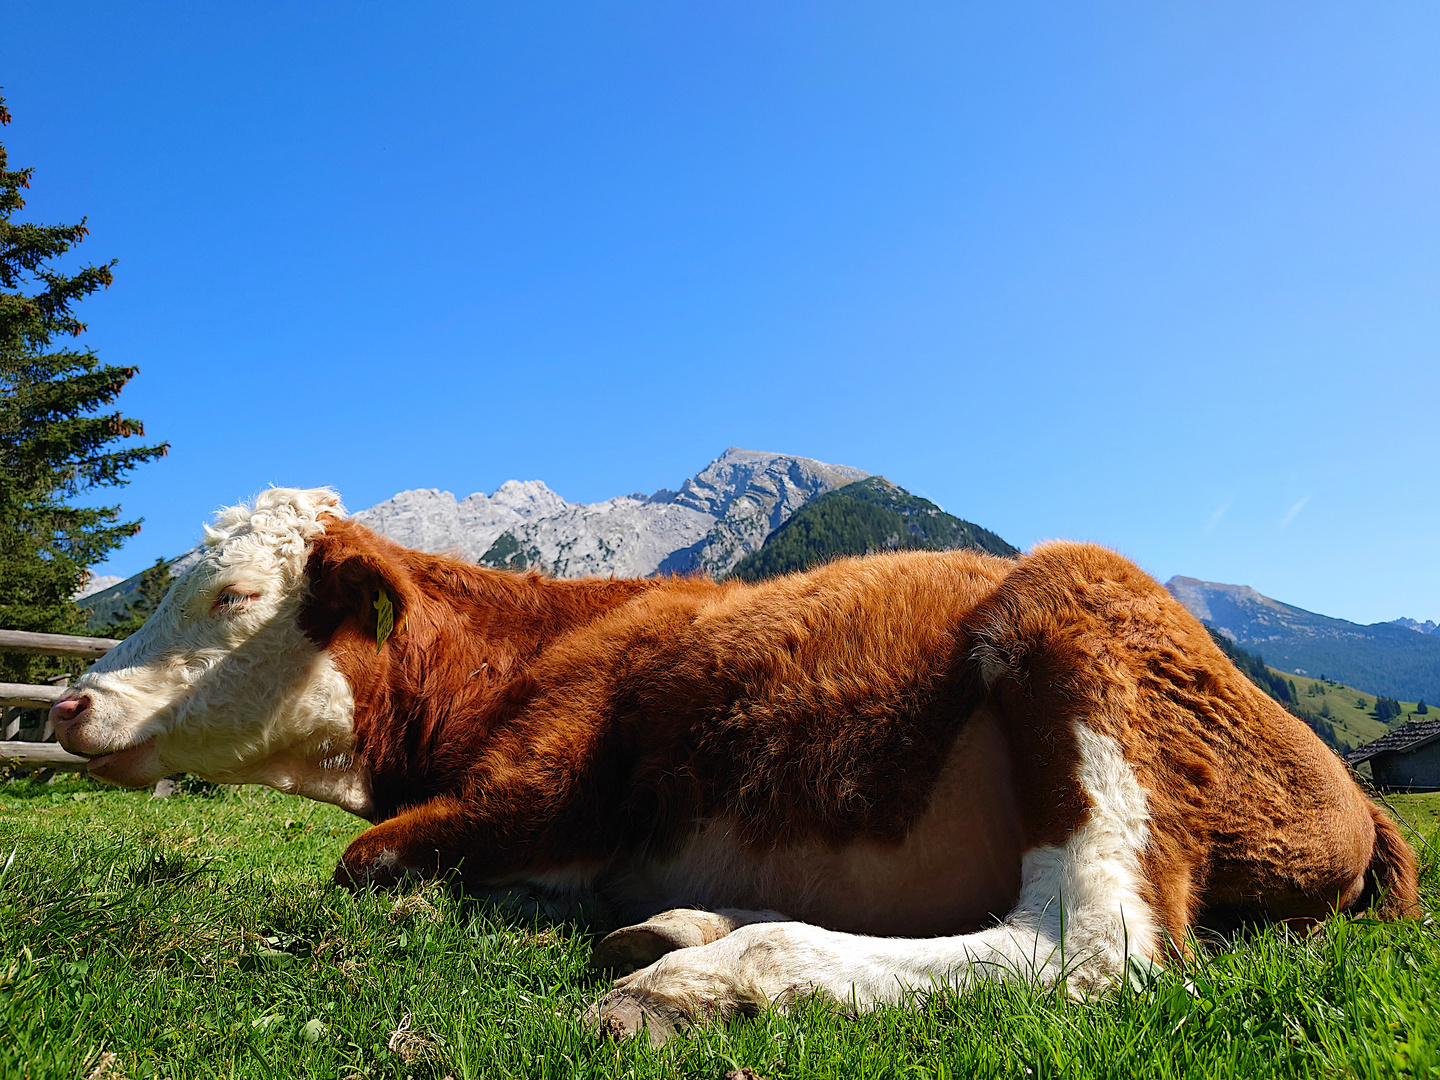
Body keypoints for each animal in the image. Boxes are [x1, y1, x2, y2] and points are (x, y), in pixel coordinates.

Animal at [47, 489, 1416, 1048]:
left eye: (231, 594)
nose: (68, 700)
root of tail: (1349, 790)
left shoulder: (530, 797)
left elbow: (362, 860)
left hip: (1076, 619)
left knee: (1094, 951)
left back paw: (707, 979)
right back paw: (684, 929)